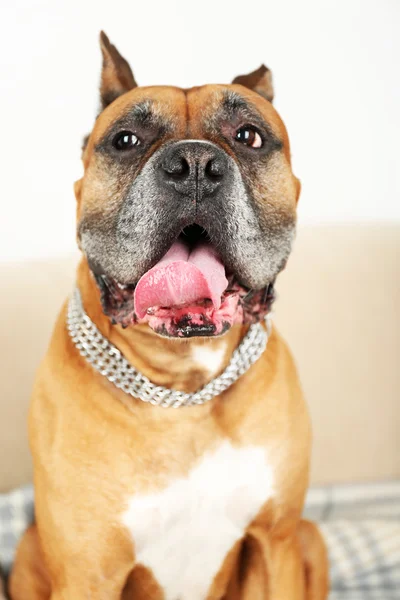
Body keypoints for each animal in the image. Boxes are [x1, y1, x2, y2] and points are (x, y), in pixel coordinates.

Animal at [8, 31, 328, 600]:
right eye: (126, 140)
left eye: (249, 136)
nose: (195, 164)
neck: (184, 387)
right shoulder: (88, 572)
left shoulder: (278, 541)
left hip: (309, 536)